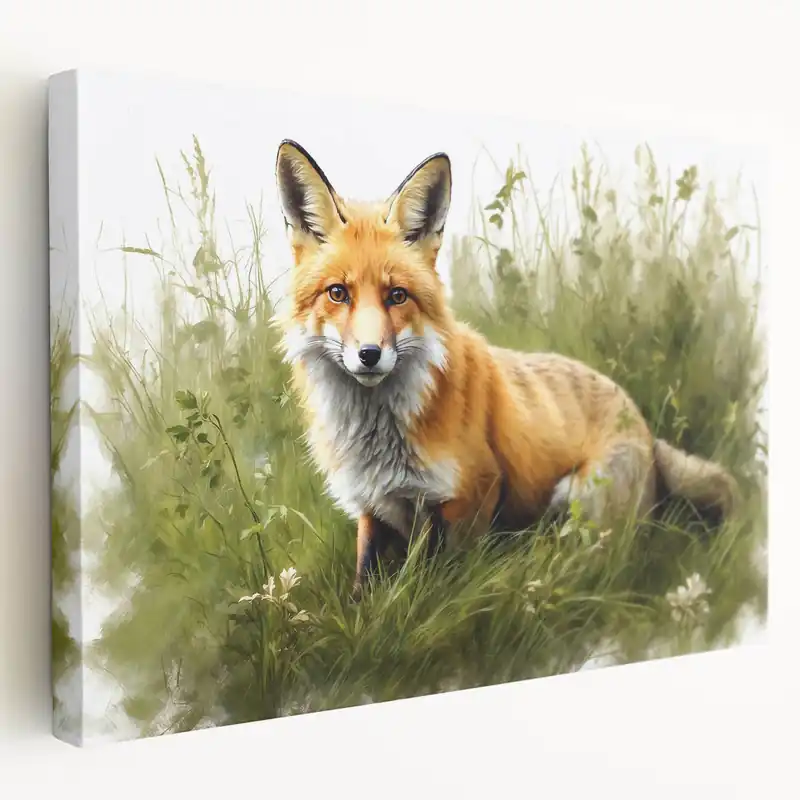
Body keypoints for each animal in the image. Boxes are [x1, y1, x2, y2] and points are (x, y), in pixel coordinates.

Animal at [273, 139, 738, 598]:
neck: (378, 439)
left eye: (397, 296)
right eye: (338, 293)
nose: (369, 354)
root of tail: (642, 425)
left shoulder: (474, 494)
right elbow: (363, 587)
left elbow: (445, 584)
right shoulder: (373, 507)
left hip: (578, 498)